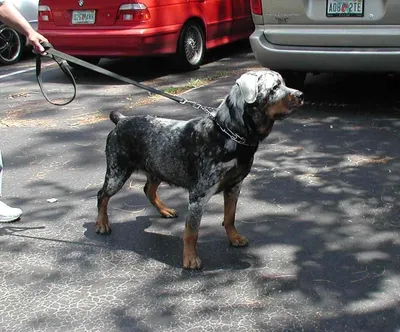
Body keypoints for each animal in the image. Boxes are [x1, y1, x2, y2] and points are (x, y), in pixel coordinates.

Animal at [96, 70, 304, 270]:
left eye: (284, 83)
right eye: (275, 87)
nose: (301, 95)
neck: (229, 133)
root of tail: (121, 120)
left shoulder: (234, 186)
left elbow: (230, 217)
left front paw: (234, 237)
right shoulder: (199, 195)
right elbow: (192, 231)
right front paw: (189, 259)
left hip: (158, 168)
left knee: (148, 190)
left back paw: (165, 210)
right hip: (117, 173)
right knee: (102, 195)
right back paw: (102, 223)